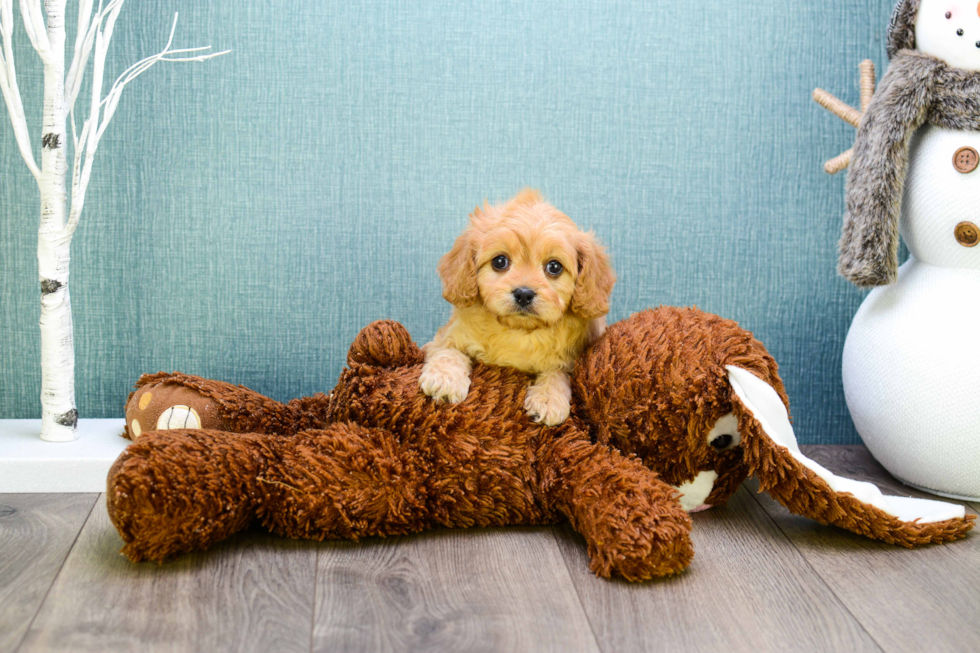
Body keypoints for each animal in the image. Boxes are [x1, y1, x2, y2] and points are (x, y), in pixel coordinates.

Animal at [420, 188, 612, 426]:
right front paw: (444, 378)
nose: (523, 293)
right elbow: (448, 351)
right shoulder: (445, 336)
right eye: (499, 261)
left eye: (554, 267)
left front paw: (549, 399)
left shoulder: (570, 360)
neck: (519, 332)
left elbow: (557, 372)